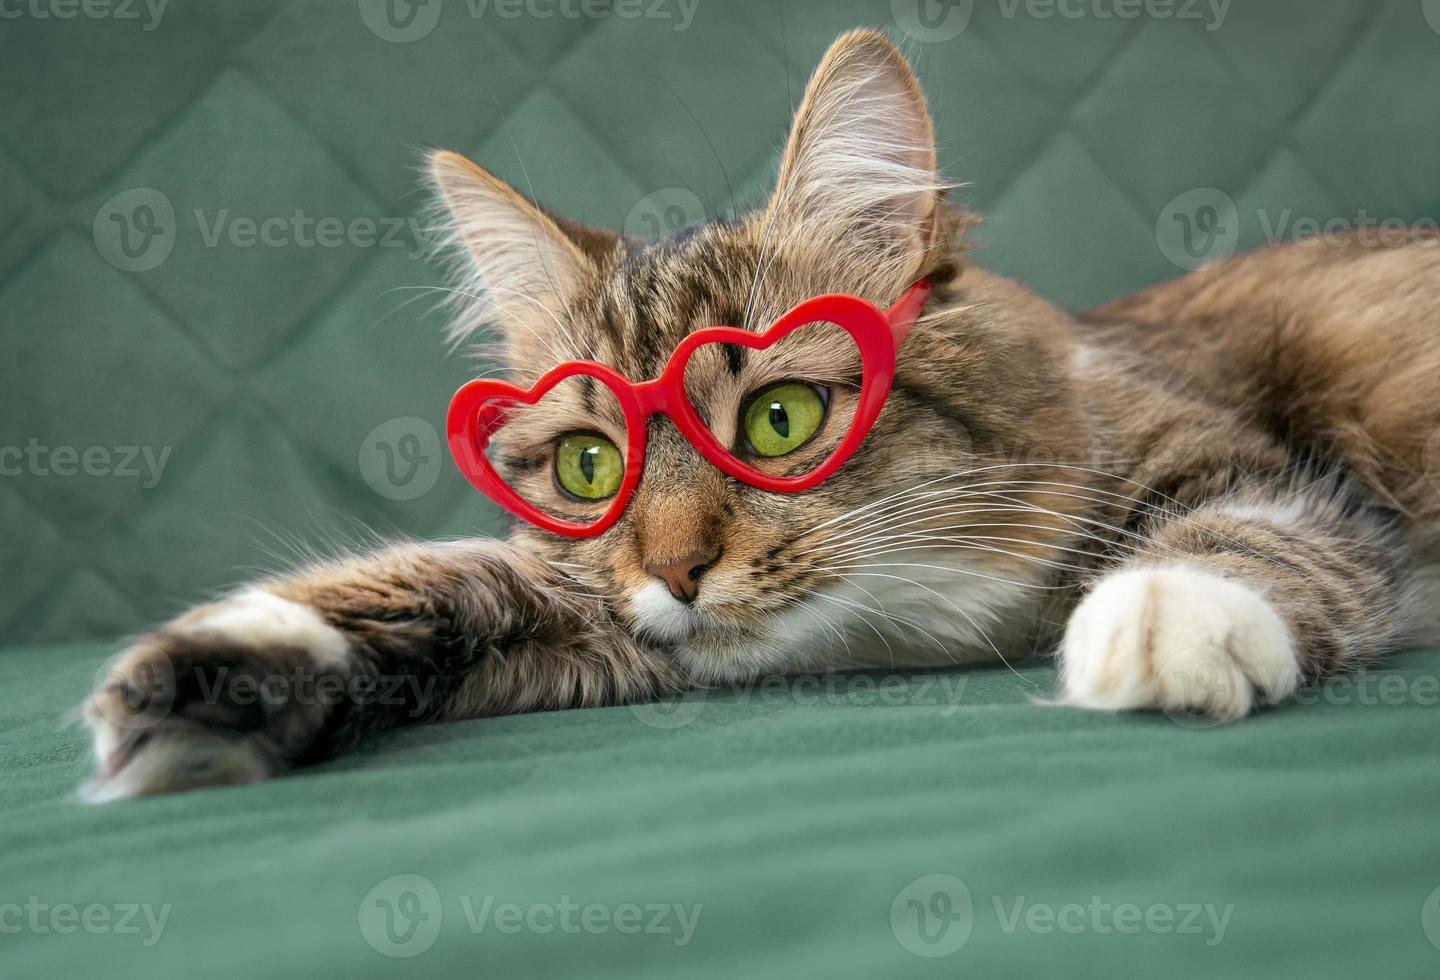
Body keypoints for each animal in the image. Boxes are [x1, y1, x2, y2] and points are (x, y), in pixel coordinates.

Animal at [78, 30, 1440, 800]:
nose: (678, 570)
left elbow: (1244, 530)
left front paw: (1159, 621)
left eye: (780, 419)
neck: (909, 627)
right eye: (588, 466)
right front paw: (219, 667)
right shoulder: (597, 612)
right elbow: (446, 579)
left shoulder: (1256, 462)